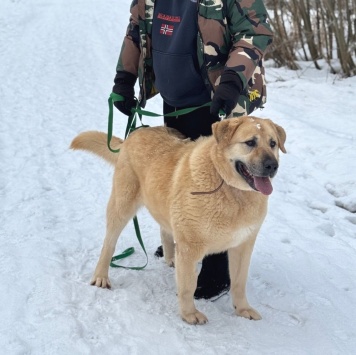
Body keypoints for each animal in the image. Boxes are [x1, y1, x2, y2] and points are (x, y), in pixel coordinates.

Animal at [70, 116, 286, 326]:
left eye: (273, 143)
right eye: (250, 142)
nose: (272, 166)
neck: (231, 189)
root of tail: (136, 132)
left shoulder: (242, 246)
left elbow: (239, 283)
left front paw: (242, 309)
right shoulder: (191, 247)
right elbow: (188, 286)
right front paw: (189, 314)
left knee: (165, 230)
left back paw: (171, 257)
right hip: (121, 206)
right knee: (109, 244)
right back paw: (101, 276)